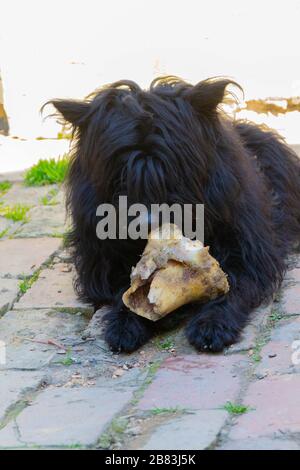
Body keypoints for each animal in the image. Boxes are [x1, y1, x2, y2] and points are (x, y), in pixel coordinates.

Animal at [49, 75, 300, 350]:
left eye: (172, 170)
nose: (147, 224)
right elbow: (121, 290)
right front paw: (125, 322)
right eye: (120, 174)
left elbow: (236, 282)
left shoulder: (249, 251)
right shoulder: (101, 262)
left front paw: (213, 322)